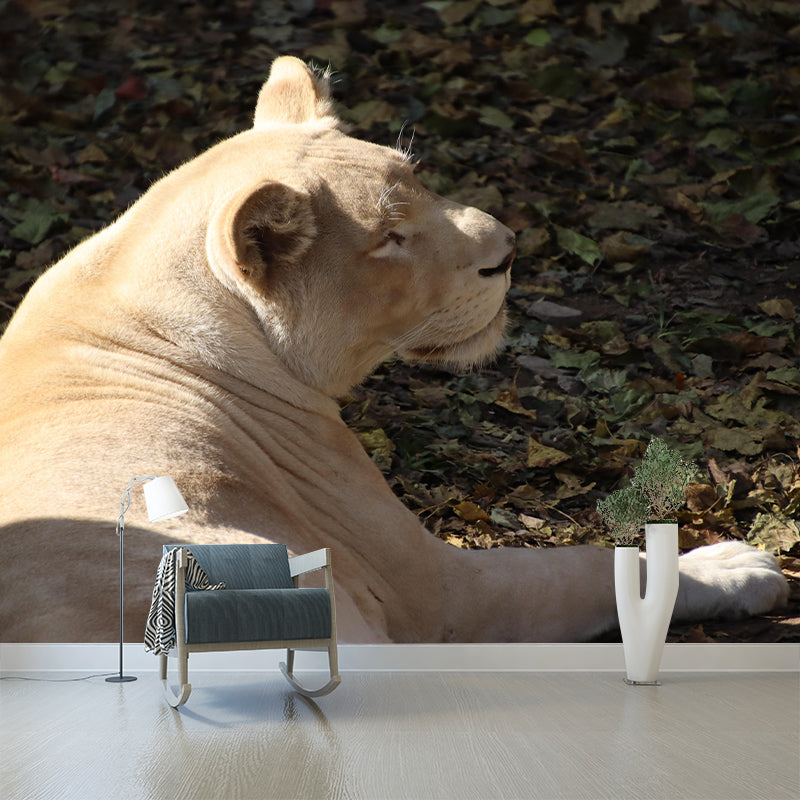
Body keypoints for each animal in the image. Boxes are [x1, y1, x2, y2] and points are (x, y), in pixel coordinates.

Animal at [0, 57, 788, 643]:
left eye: (418, 180)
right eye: (388, 237)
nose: (507, 251)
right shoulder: (434, 588)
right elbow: (595, 566)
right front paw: (734, 567)